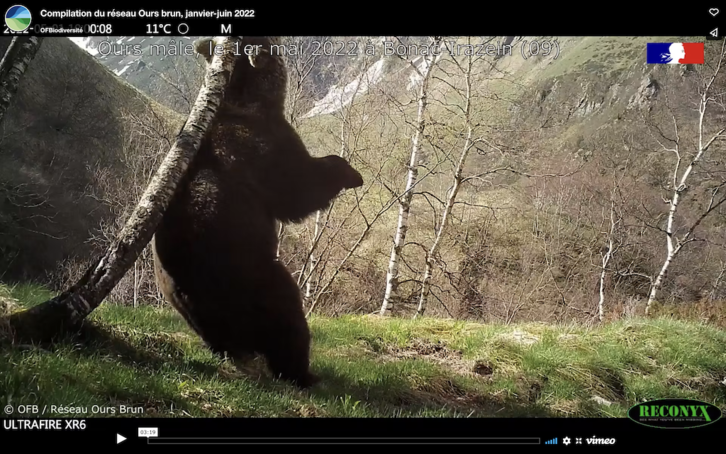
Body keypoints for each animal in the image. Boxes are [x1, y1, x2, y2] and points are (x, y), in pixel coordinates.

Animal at [151, 36, 364, 389]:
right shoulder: (262, 146)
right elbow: (297, 188)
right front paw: (348, 172)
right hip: (251, 276)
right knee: (287, 319)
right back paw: (303, 373)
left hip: (198, 306)